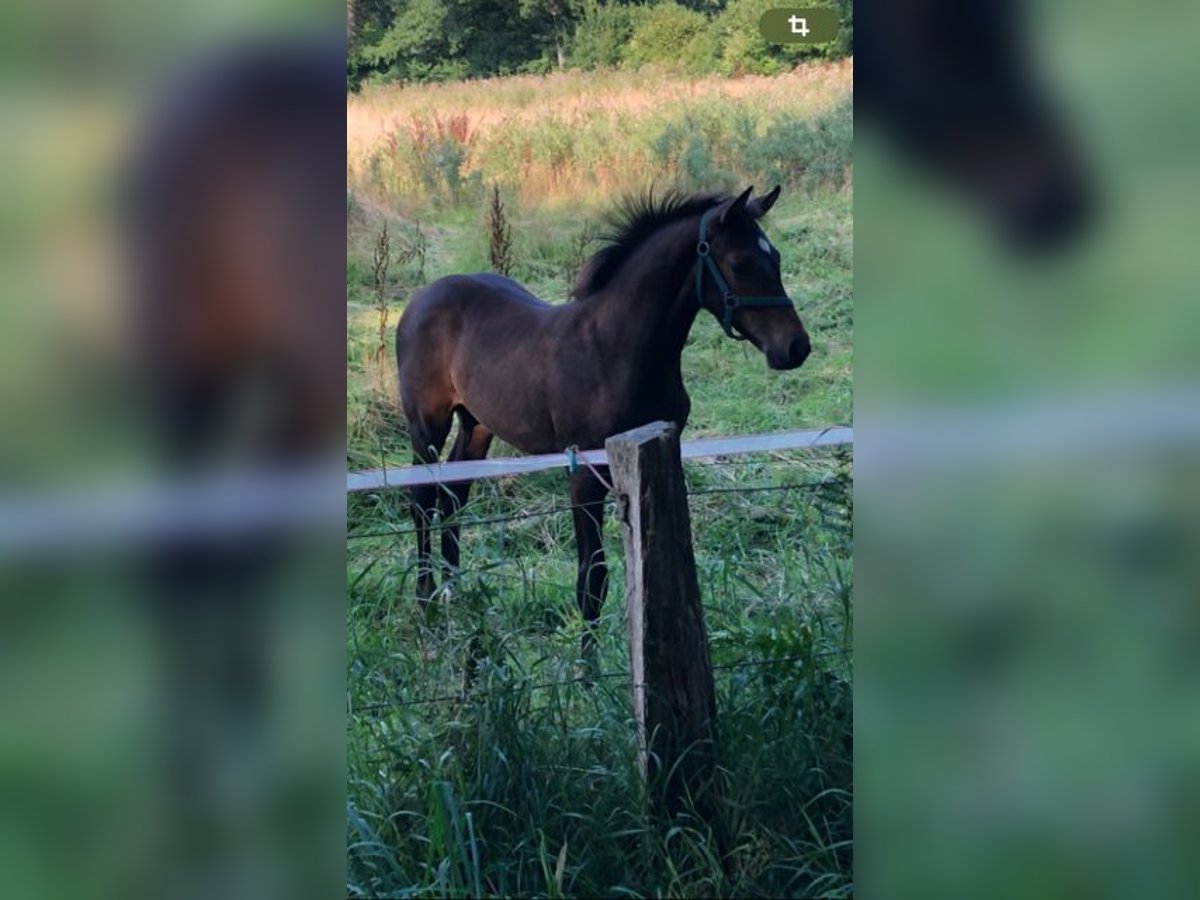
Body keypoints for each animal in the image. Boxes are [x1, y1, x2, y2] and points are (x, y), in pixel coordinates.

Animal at [398, 187, 811, 643]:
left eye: (776, 257)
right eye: (740, 263)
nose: (795, 347)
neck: (615, 349)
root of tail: (421, 297)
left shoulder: (658, 457)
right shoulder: (584, 473)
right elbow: (592, 579)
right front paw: (588, 662)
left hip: (477, 423)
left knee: (455, 492)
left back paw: (454, 590)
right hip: (427, 423)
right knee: (422, 497)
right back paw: (426, 596)